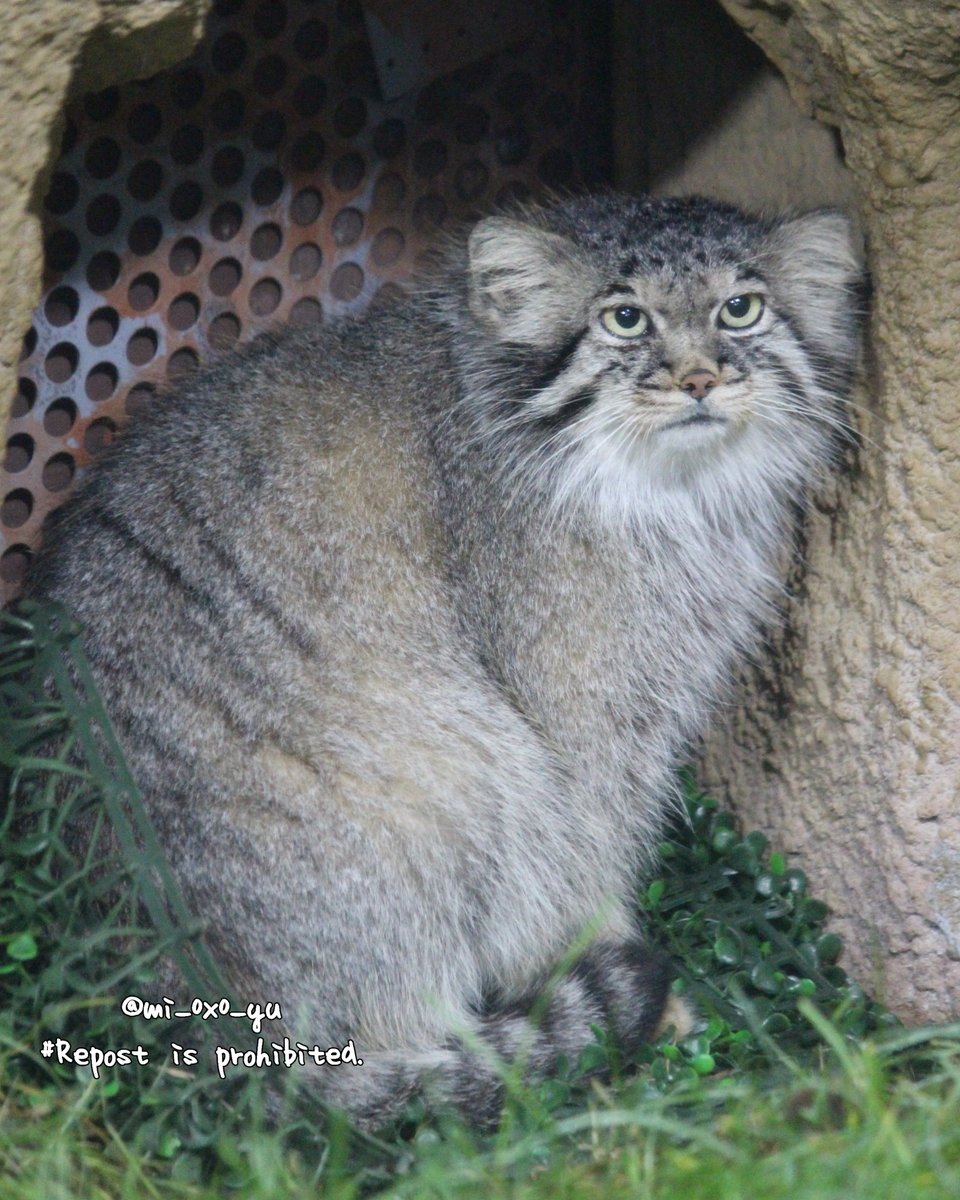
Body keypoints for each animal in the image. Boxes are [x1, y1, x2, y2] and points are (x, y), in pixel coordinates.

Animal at [24, 194, 864, 1123]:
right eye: (625, 318)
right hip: (460, 764)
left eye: (739, 309)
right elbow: (587, 856)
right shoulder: (576, 718)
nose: (699, 379)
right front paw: (621, 970)